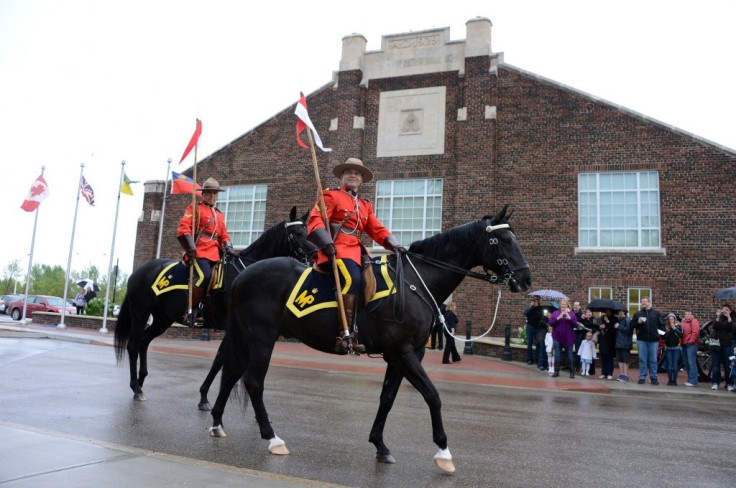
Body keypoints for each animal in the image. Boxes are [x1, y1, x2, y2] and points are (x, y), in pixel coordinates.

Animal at [113, 206, 314, 400]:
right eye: (296, 233)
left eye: (308, 231)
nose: (313, 256)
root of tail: (138, 271)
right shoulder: (232, 327)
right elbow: (222, 358)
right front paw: (204, 397)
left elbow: (220, 360)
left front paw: (204, 396)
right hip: (140, 313)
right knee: (133, 345)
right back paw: (136, 388)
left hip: (163, 319)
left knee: (144, 342)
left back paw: (141, 382)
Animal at [207, 206, 528, 472]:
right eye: (502, 240)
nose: (525, 279)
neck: (415, 282)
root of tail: (243, 276)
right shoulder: (405, 352)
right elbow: (432, 396)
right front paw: (443, 452)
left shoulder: (399, 356)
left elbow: (387, 398)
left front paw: (380, 445)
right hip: (261, 338)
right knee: (253, 382)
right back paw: (273, 438)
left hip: (248, 338)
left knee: (232, 373)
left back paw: (217, 423)